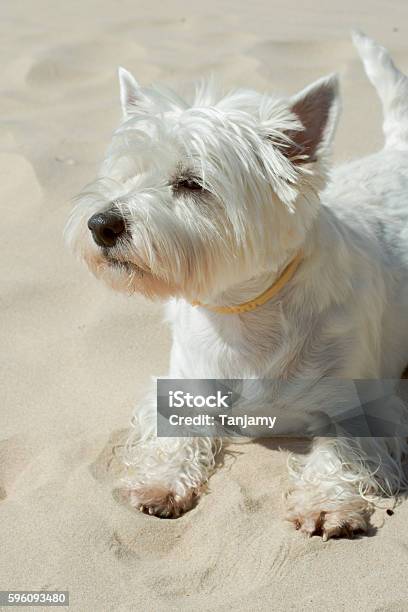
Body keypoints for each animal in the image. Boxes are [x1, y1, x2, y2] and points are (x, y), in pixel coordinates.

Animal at [65, 32, 408, 540]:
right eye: (127, 173)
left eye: (192, 184)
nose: (100, 225)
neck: (243, 313)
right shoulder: (183, 386)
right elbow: (175, 434)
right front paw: (160, 483)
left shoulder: (369, 404)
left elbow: (341, 450)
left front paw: (326, 504)